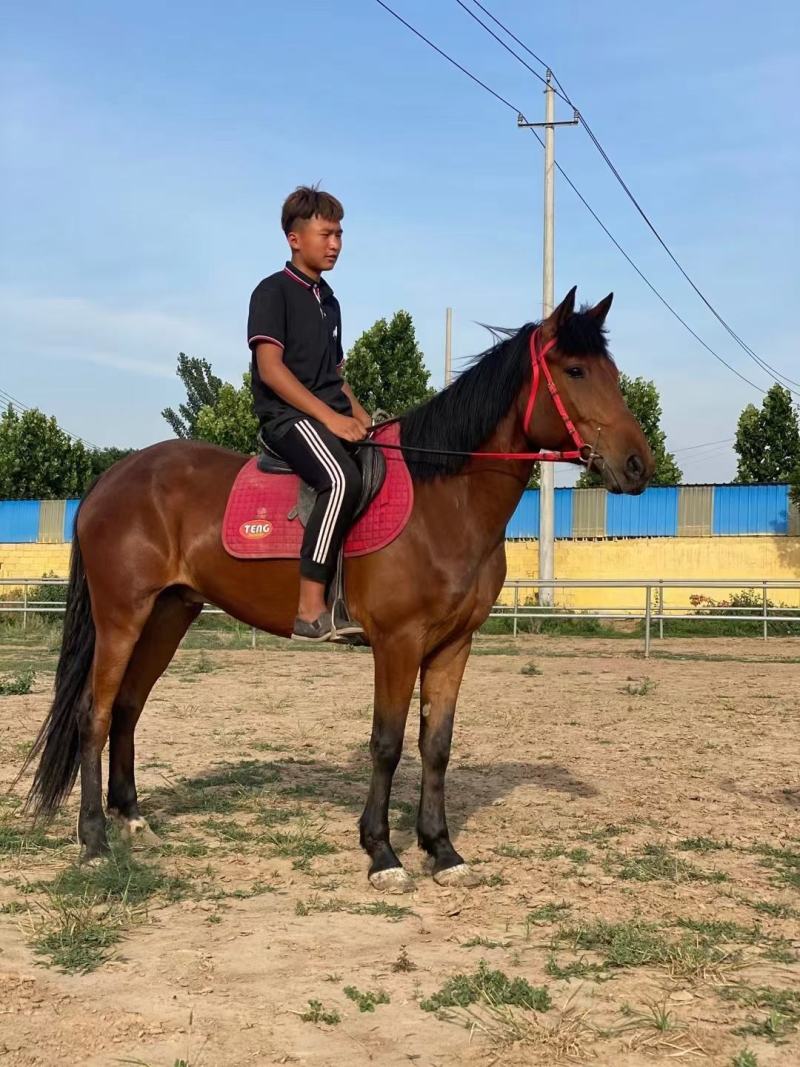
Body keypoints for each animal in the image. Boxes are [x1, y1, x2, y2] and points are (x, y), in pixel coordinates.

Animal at [22, 287, 653, 891]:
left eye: (612, 371)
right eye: (575, 370)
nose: (637, 465)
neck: (445, 498)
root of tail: (109, 480)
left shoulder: (454, 645)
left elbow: (437, 745)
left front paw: (442, 851)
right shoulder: (397, 643)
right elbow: (387, 744)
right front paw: (383, 854)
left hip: (168, 615)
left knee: (128, 708)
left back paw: (131, 820)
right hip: (122, 617)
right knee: (95, 714)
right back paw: (94, 841)